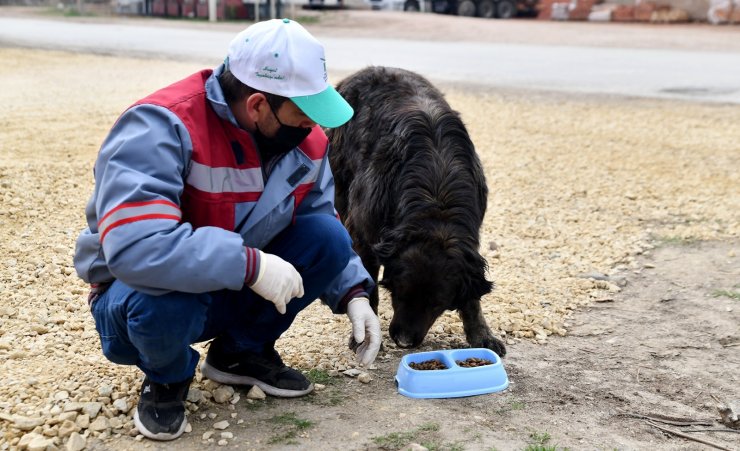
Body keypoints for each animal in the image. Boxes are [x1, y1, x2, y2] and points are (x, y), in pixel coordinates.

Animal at [328, 66, 506, 356]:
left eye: (437, 303)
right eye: (400, 294)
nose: (404, 341)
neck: (436, 200)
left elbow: (472, 299)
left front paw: (481, 334)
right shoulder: (365, 236)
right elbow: (370, 288)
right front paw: (367, 334)